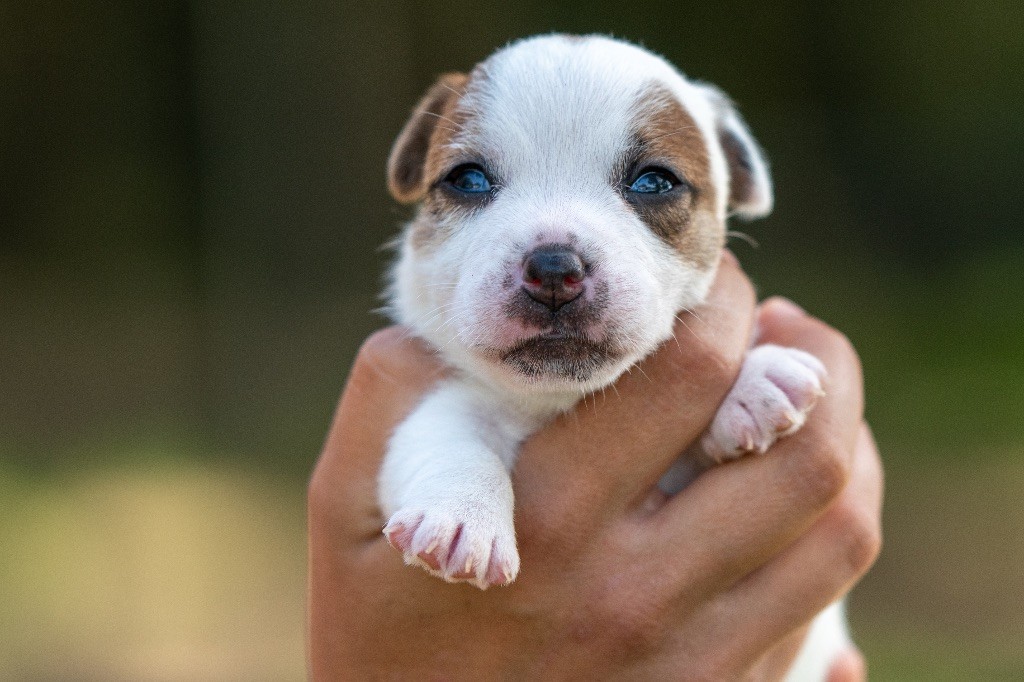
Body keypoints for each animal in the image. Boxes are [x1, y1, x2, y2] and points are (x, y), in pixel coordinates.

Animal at [376, 34, 847, 675]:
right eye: (466, 179)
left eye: (654, 182)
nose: (554, 267)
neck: (561, 396)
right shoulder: (445, 399)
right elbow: (449, 435)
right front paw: (461, 515)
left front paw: (755, 380)